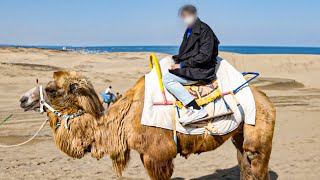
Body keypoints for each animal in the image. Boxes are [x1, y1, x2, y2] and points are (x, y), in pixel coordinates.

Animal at [19, 70, 276, 180]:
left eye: (51, 89)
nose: (23, 99)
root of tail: (265, 97)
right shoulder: (146, 155)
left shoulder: (158, 156)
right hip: (239, 134)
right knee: (245, 163)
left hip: (260, 130)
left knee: (257, 162)